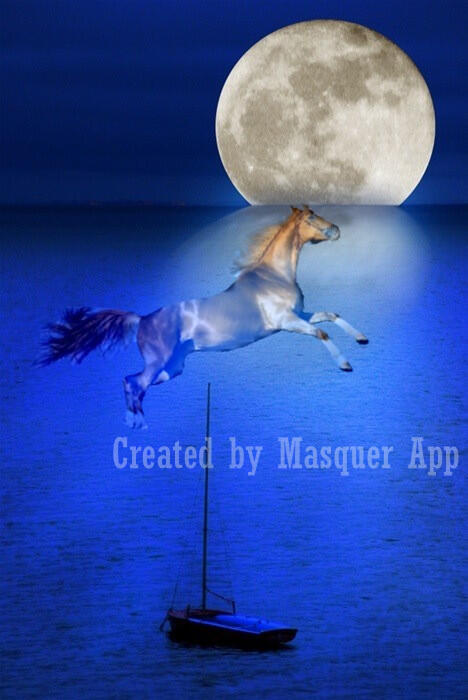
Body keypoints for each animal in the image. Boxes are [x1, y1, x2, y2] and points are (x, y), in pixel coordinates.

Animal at [41, 206, 368, 428]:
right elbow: (322, 333)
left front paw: (362, 338)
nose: (336, 229)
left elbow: (331, 316)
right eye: (311, 217)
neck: (273, 276)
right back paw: (135, 423)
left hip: (172, 369)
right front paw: (345, 364)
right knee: (132, 383)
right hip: (159, 364)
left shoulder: (299, 315)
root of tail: (141, 319)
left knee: (132, 382)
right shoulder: (287, 322)